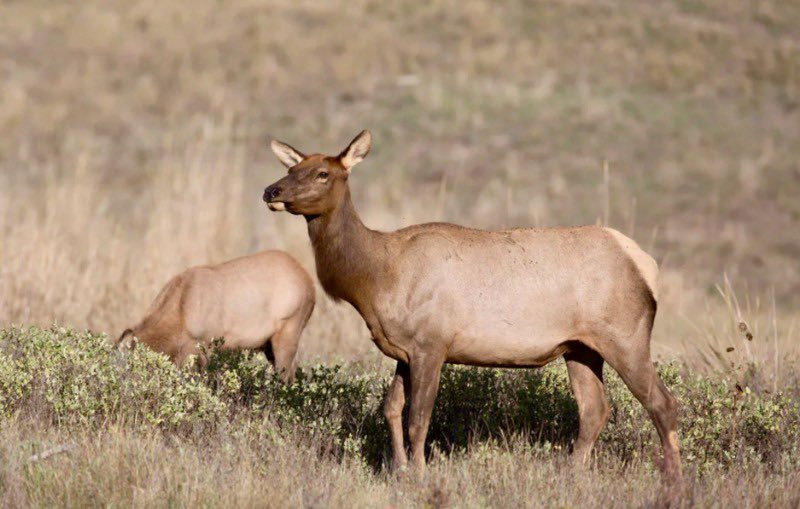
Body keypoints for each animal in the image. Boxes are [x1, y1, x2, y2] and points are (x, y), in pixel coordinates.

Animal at [262, 130, 682, 482]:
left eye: (322, 173)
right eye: (291, 168)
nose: (271, 190)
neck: (375, 280)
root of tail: (645, 264)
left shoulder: (432, 343)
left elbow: (419, 418)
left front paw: (419, 475)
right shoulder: (404, 350)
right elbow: (391, 409)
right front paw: (398, 470)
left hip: (625, 334)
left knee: (662, 403)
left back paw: (674, 478)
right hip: (580, 347)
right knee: (595, 409)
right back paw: (571, 473)